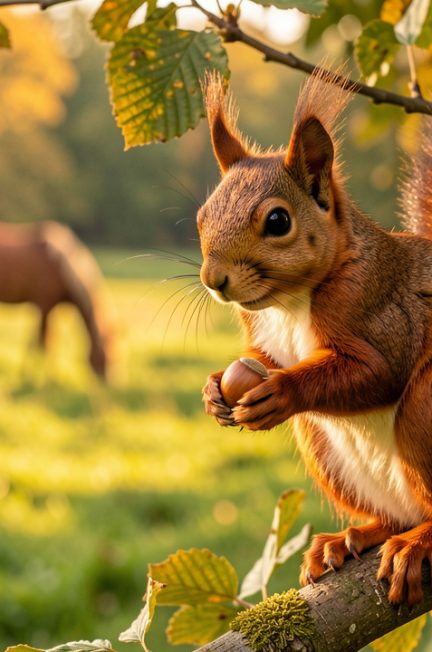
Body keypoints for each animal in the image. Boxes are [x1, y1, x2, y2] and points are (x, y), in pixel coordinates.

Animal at [0, 220, 112, 379]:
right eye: (107, 351)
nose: (113, 379)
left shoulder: (53, 308)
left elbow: (50, 341)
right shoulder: (43, 305)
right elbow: (42, 342)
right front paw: (35, 376)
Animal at [198, 69, 432, 606]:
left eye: (278, 220)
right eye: (202, 215)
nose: (213, 280)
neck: (289, 304)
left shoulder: (381, 310)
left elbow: (379, 371)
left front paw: (283, 391)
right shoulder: (265, 339)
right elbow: (258, 357)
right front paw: (214, 388)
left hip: (425, 408)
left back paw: (417, 545)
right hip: (324, 450)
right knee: (395, 516)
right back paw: (350, 538)